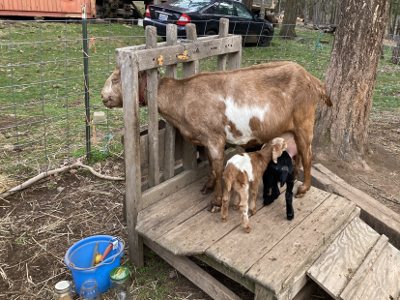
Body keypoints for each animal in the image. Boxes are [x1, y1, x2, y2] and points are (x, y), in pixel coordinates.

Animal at [101, 61, 332, 211]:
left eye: (116, 79)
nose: (103, 97)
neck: (182, 97)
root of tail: (315, 81)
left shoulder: (215, 138)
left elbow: (218, 166)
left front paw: (216, 202)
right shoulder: (206, 140)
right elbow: (212, 165)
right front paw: (208, 186)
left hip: (304, 122)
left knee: (308, 154)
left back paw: (303, 188)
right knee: (299, 153)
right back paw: (294, 177)